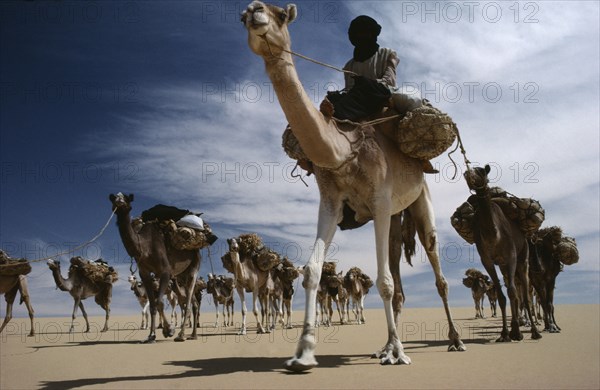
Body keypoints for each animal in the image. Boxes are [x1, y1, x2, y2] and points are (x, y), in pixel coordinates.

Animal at [109, 192, 200, 342]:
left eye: (126, 198)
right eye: (114, 198)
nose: (119, 202)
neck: (145, 248)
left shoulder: (165, 271)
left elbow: (159, 302)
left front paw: (169, 330)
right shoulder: (145, 274)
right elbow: (153, 305)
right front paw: (151, 335)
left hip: (194, 266)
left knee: (187, 302)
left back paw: (181, 335)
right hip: (181, 276)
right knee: (192, 302)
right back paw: (193, 334)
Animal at [243, 2, 464, 368]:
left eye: (280, 15)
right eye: (244, 16)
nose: (253, 10)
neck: (344, 149)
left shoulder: (379, 200)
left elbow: (384, 282)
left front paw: (400, 353)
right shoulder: (332, 203)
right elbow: (313, 271)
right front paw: (303, 352)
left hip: (419, 202)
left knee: (437, 269)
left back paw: (454, 340)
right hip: (394, 218)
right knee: (398, 276)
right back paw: (384, 347)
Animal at [464, 165, 544, 342]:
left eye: (481, 170)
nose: (467, 173)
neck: (493, 234)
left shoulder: (511, 257)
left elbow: (513, 293)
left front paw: (517, 332)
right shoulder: (487, 261)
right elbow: (502, 296)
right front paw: (505, 333)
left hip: (523, 258)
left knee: (524, 296)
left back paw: (534, 331)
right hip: (502, 266)